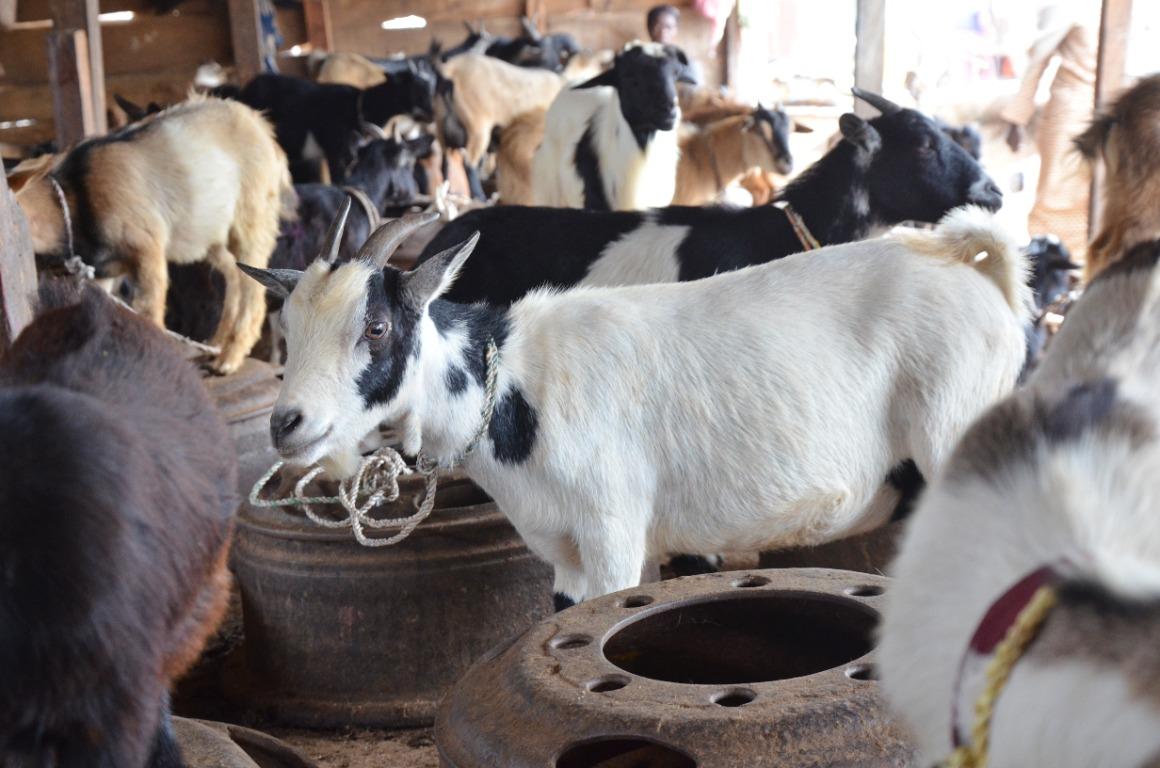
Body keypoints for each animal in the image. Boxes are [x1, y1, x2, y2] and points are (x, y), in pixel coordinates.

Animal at [14, 96, 293, 373]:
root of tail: (264, 128)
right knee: (234, 274)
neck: (76, 197)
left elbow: (148, 310)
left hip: (253, 217)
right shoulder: (103, 272)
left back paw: (229, 359)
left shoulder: (147, 247)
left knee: (253, 289)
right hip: (210, 232)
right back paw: (216, 343)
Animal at [236, 69, 435, 184]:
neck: (358, 107)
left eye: (430, 88)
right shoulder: (336, 151)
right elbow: (340, 181)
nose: (432, 116)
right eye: (416, 90)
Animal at [242, 203, 1029, 607]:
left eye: (376, 327)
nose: (287, 425)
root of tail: (978, 270)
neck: (515, 386)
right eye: (287, 329)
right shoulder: (562, 549)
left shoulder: (612, 531)